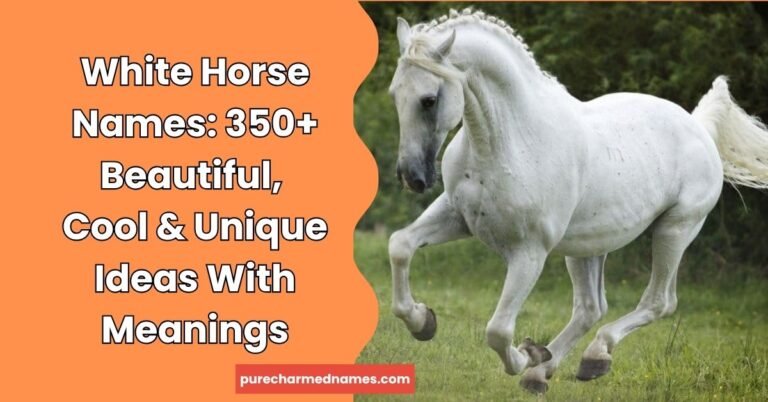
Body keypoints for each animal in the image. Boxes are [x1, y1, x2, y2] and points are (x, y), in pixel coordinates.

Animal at [385, 9, 768, 393]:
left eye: (429, 99)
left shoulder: (529, 252)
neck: (510, 141)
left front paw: (526, 354)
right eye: (394, 94)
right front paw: (422, 321)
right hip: (588, 246)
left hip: (674, 230)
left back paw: (585, 357)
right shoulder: (457, 216)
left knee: (659, 302)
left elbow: (498, 331)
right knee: (591, 307)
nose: (411, 177)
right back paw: (549, 370)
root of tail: (698, 126)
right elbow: (400, 245)